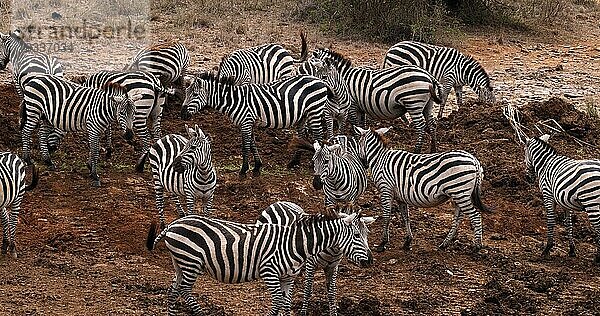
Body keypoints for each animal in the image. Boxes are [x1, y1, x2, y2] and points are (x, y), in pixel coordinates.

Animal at [146, 212, 370, 316]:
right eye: (357, 236)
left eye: (366, 234)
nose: (370, 261)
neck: (294, 244)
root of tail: (173, 224)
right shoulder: (269, 271)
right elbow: (278, 302)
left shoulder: (287, 277)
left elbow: (286, 303)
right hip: (191, 261)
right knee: (184, 290)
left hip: (180, 264)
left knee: (173, 291)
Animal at [180, 72, 330, 179]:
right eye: (186, 93)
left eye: (194, 94)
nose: (182, 115)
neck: (234, 100)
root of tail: (320, 80)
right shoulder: (248, 122)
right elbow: (252, 144)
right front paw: (257, 167)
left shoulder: (246, 122)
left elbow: (245, 146)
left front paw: (243, 170)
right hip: (303, 116)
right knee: (302, 135)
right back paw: (294, 162)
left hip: (315, 110)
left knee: (318, 136)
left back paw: (313, 164)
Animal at [356, 126, 488, 252]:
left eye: (359, 142)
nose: (363, 163)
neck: (379, 159)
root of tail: (474, 160)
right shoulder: (400, 196)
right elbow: (406, 217)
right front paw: (408, 241)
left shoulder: (385, 190)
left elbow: (386, 216)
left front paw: (382, 243)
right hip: (458, 194)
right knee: (457, 219)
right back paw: (444, 244)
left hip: (459, 192)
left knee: (475, 215)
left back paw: (476, 246)